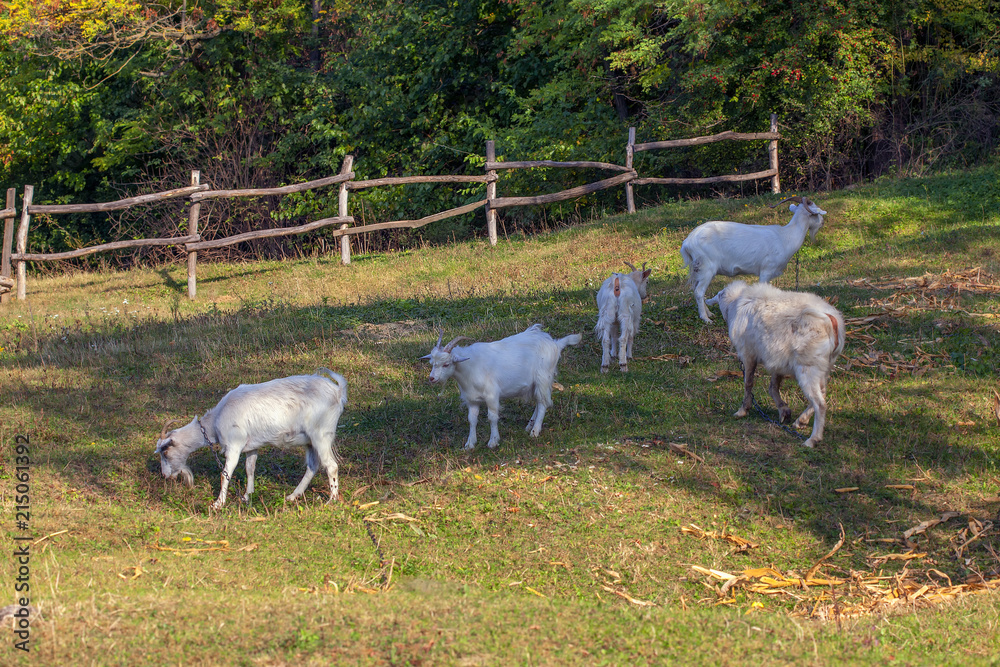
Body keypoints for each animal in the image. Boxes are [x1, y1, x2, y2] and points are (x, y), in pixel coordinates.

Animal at [155, 369, 348, 509]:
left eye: (165, 452)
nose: (165, 475)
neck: (215, 420)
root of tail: (337, 391)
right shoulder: (251, 446)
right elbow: (250, 469)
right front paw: (248, 495)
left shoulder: (234, 445)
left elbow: (225, 474)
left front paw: (218, 504)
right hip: (310, 441)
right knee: (312, 466)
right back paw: (293, 496)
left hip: (321, 435)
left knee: (331, 466)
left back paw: (331, 500)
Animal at [422, 324, 581, 450]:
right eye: (432, 363)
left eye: (446, 364)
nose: (432, 378)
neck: (470, 367)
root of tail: (555, 344)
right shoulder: (472, 399)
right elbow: (472, 420)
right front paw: (470, 444)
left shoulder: (491, 395)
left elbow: (492, 418)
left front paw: (493, 441)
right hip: (535, 384)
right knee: (539, 401)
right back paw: (529, 425)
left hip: (543, 378)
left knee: (543, 403)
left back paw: (535, 431)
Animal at [680, 196, 827, 322]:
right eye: (816, 213)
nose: (822, 222)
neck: (785, 237)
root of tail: (688, 242)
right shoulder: (766, 270)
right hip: (707, 267)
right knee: (699, 291)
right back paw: (706, 319)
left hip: (698, 269)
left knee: (696, 289)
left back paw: (709, 313)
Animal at [706, 280, 844, 448]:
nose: (708, 300)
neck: (736, 303)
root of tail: (831, 319)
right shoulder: (777, 363)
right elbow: (773, 388)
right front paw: (784, 411)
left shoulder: (748, 354)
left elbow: (748, 383)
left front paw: (743, 410)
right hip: (823, 367)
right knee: (822, 393)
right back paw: (801, 421)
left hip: (807, 367)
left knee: (820, 403)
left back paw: (812, 439)